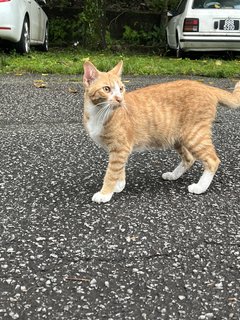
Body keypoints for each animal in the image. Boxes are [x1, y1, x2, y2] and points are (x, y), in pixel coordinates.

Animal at [82, 61, 240, 204]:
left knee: (213, 160)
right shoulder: (118, 150)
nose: (120, 99)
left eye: (121, 89)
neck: (99, 112)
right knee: (189, 158)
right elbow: (119, 170)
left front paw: (105, 193)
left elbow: (111, 173)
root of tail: (205, 86)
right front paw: (119, 186)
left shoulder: (120, 148)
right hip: (178, 138)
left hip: (194, 135)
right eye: (107, 89)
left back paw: (200, 187)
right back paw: (174, 175)